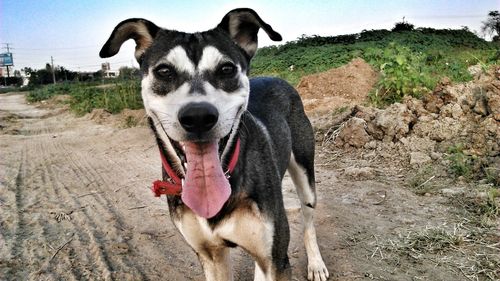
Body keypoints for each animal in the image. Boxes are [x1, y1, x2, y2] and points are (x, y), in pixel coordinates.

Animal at [99, 7, 330, 278]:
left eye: (227, 69)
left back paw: (315, 263)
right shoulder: (211, 255)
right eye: (164, 71)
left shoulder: (274, 259)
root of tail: (278, 79)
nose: (198, 117)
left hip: (304, 172)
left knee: (308, 218)